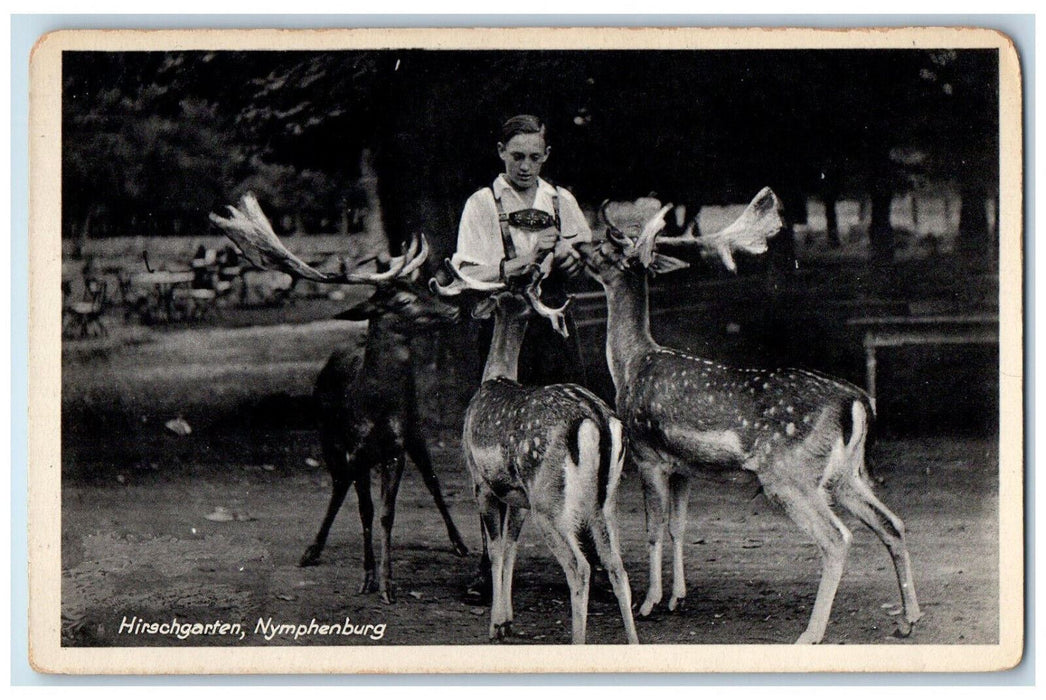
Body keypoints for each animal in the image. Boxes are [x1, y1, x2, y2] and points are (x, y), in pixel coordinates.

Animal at [210, 193, 468, 602]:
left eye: (423, 289)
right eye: (403, 301)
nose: (455, 309)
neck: (374, 406)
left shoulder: (394, 447)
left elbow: (386, 513)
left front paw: (387, 584)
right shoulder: (354, 449)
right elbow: (365, 511)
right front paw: (367, 578)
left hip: (414, 426)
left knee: (433, 481)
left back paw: (459, 543)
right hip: (327, 437)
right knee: (338, 486)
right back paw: (312, 550)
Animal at [430, 254, 635, 640]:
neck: (494, 377)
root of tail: (597, 417)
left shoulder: (481, 481)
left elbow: (497, 548)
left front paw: (496, 624)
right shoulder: (518, 496)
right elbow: (511, 545)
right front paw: (507, 618)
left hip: (550, 499)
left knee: (579, 567)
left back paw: (577, 641)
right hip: (606, 500)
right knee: (617, 566)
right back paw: (633, 642)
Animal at [577, 187, 928, 644]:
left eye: (606, 246)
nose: (575, 247)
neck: (630, 364)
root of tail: (858, 403)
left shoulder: (646, 452)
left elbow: (653, 528)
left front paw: (650, 602)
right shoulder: (685, 466)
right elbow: (678, 526)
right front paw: (677, 597)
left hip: (789, 475)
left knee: (837, 538)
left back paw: (811, 633)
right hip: (844, 474)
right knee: (893, 523)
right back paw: (908, 618)